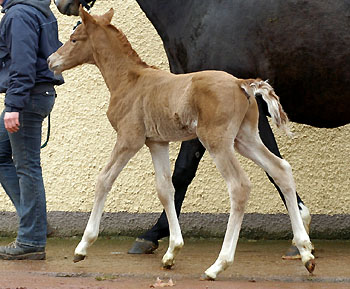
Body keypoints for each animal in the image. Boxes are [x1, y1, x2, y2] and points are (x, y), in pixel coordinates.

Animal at [54, 0, 350, 256]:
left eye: (74, 38)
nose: (60, 4)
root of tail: (244, 84)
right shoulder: (164, 136)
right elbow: (172, 181)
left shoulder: (143, 136)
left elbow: (178, 173)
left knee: (242, 183)